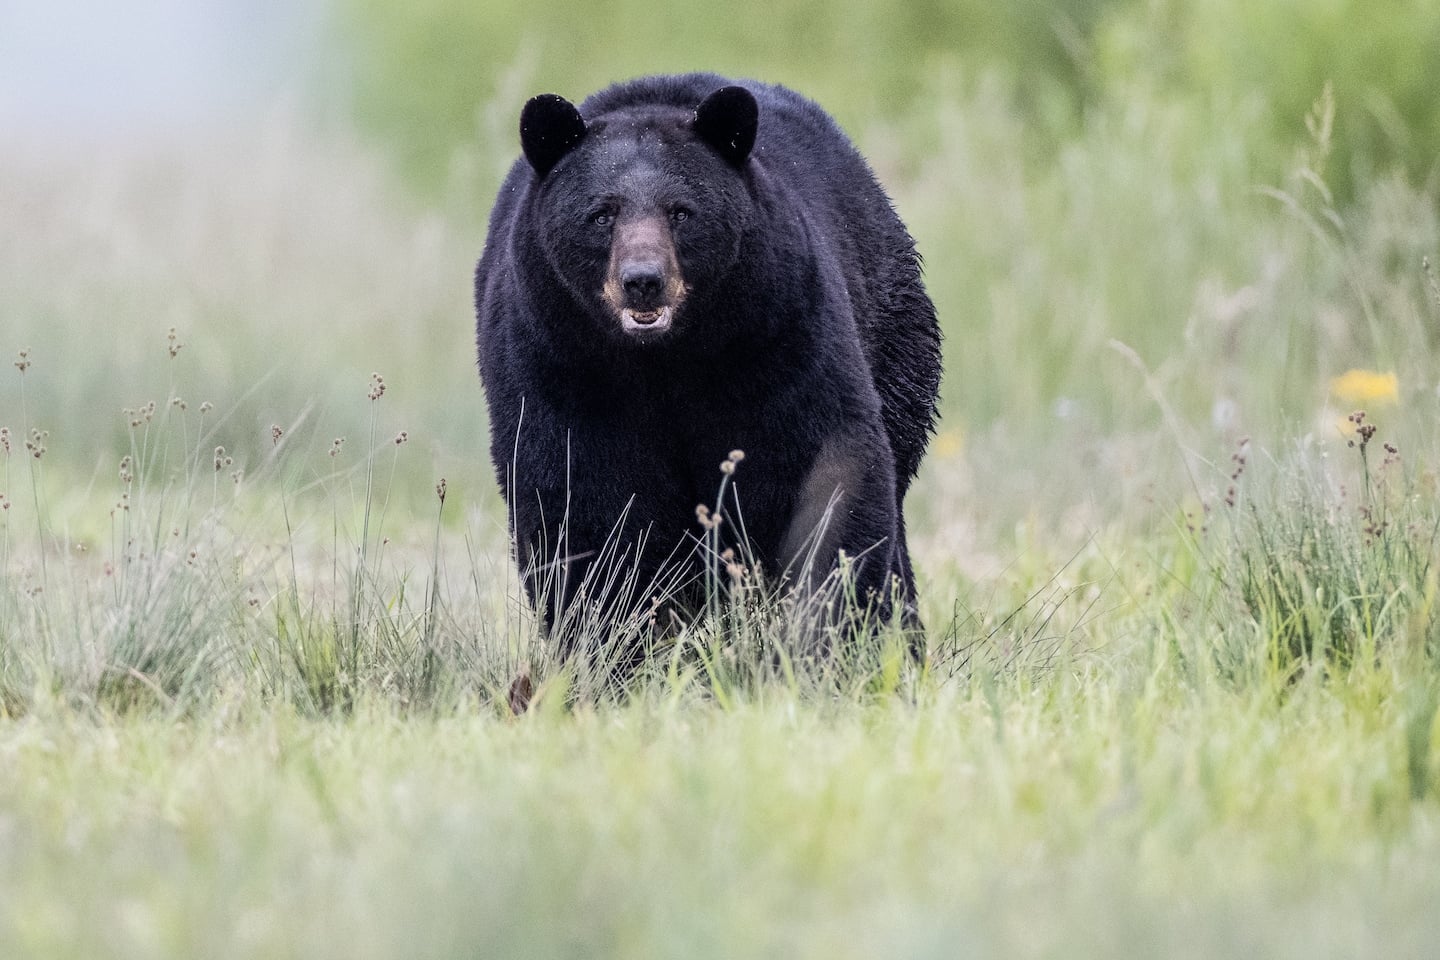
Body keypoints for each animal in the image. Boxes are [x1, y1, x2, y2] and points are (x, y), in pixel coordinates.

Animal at [474, 73, 941, 659]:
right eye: (601, 214)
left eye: (681, 210)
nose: (643, 280)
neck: (666, 361)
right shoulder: (560, 364)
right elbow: (579, 504)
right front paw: (614, 648)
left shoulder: (778, 336)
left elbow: (822, 471)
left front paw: (841, 637)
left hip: (895, 338)